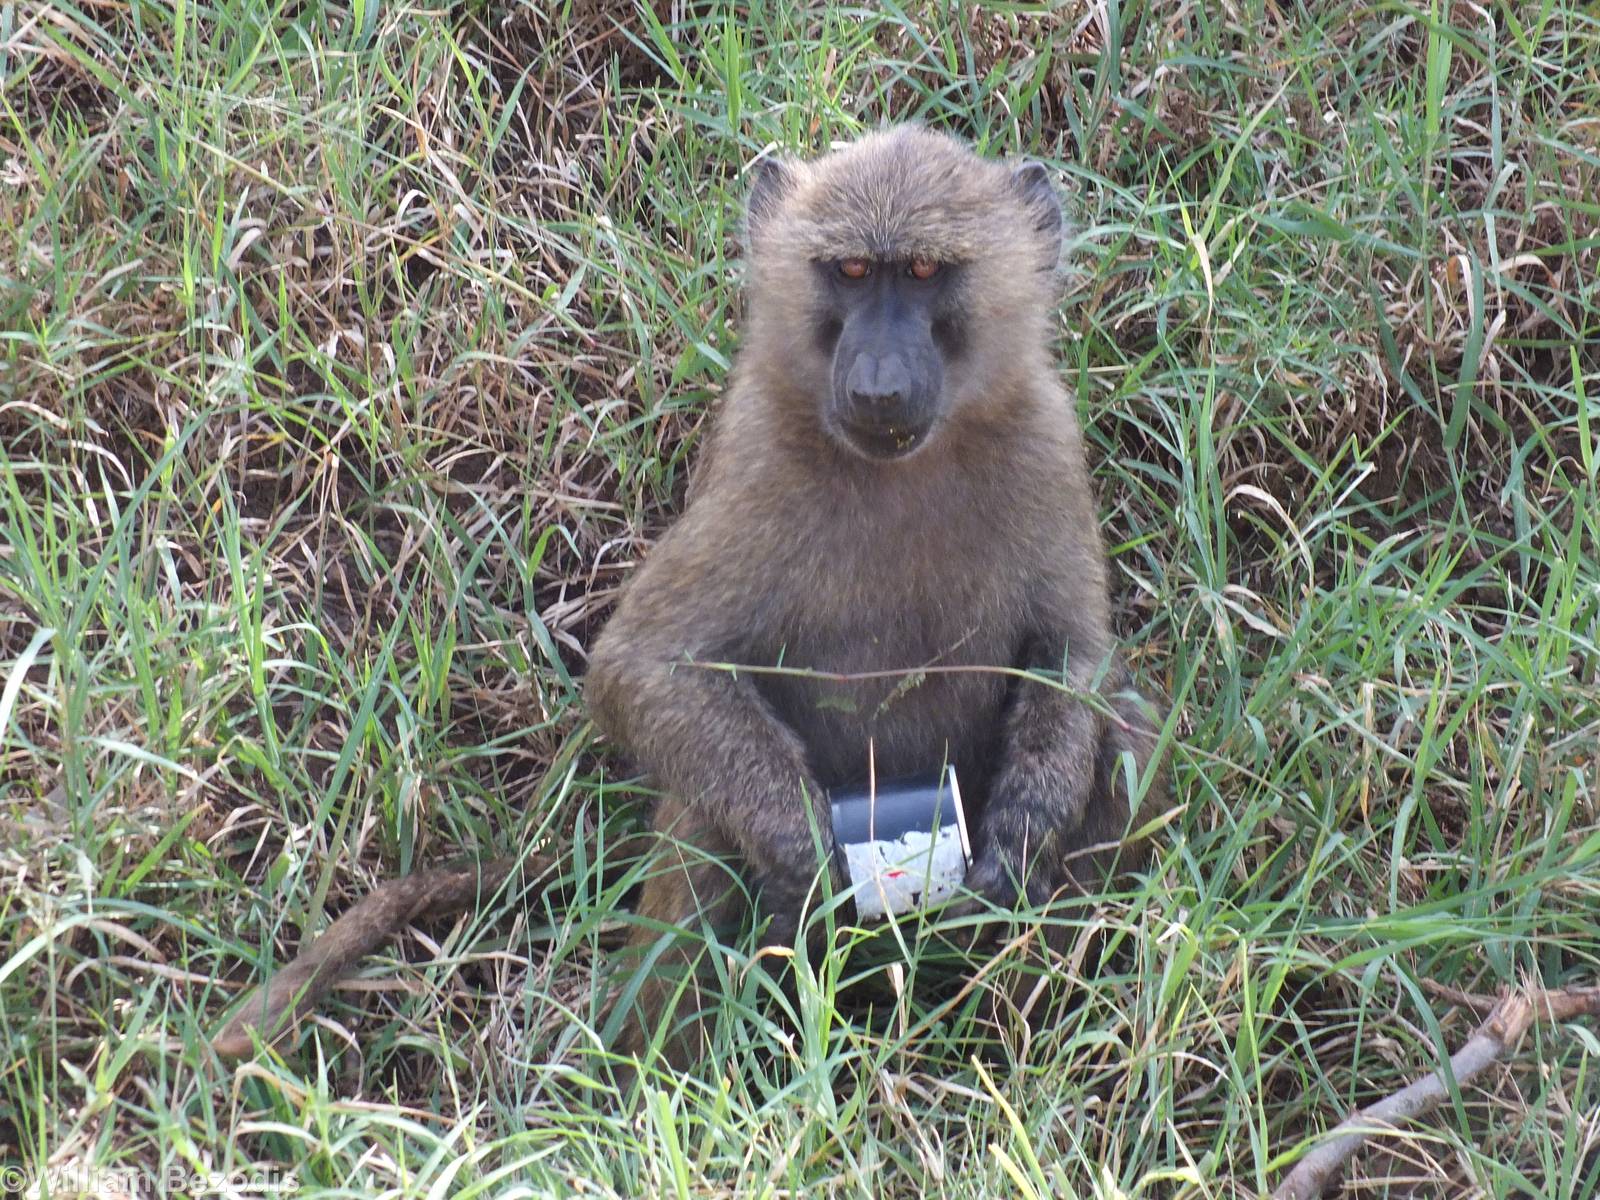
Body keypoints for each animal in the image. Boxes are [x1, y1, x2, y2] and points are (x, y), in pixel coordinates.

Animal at [211, 124, 1157, 1076]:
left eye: (924, 270)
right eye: (850, 271)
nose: (879, 384)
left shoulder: (1046, 437)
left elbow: (1074, 654)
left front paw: (1023, 832)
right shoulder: (756, 454)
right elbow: (644, 668)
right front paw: (808, 855)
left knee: (1128, 733)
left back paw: (1029, 1023)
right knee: (704, 808)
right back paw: (675, 1071)